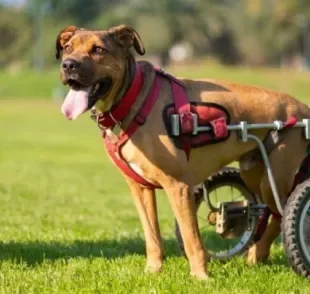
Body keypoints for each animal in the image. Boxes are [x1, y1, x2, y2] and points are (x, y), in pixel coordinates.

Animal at [55, 24, 310, 280]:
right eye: (67, 47)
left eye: (98, 50)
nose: (68, 65)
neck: (133, 97)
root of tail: (303, 108)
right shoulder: (140, 188)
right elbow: (152, 236)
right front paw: (153, 270)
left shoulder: (178, 186)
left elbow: (192, 239)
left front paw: (201, 276)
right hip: (253, 171)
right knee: (267, 212)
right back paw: (257, 253)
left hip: (273, 178)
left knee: (280, 213)